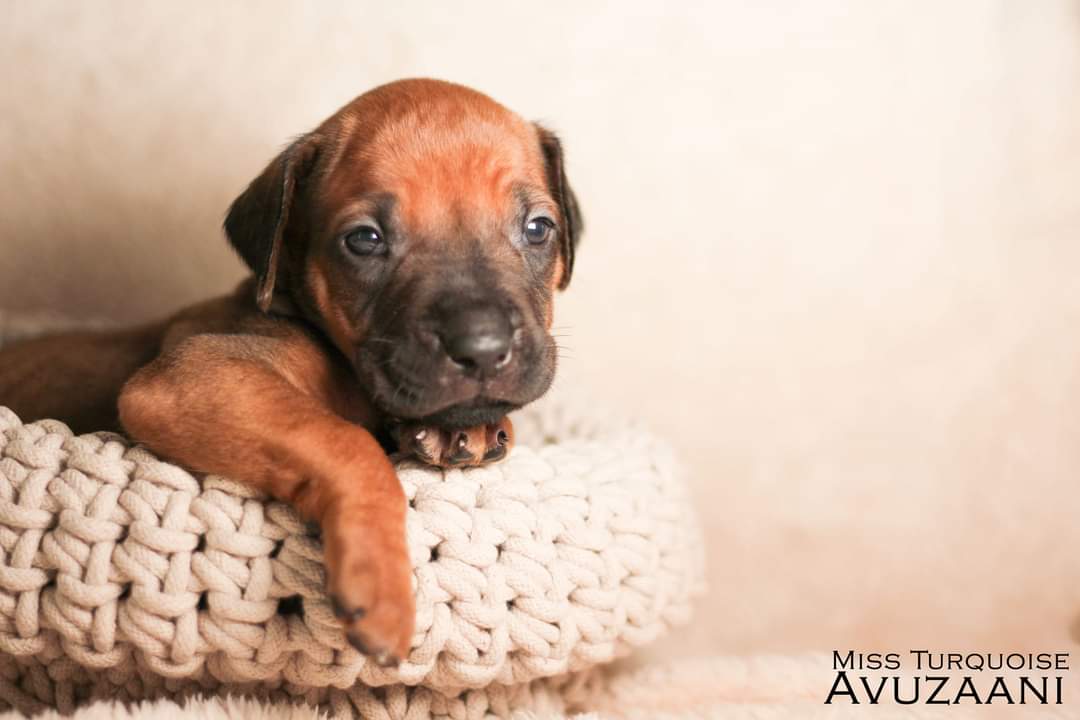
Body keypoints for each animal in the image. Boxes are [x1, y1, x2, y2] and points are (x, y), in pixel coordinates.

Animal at [0, 79, 582, 666]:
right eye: (365, 240)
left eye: (538, 229)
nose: (482, 348)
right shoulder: (194, 377)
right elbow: (348, 442)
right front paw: (382, 584)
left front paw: (465, 429)